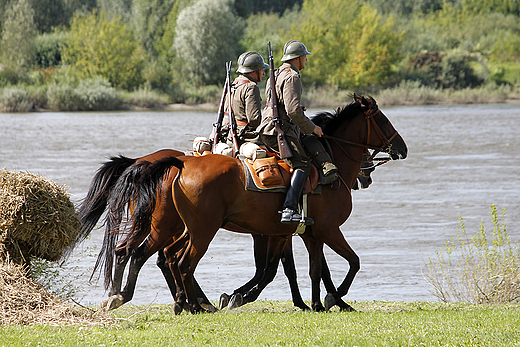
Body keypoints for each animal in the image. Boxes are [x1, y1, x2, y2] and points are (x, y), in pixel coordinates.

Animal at [159, 94, 406, 312]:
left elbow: (312, 270)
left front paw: (317, 303)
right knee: (185, 264)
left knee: (172, 256)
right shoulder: (328, 230)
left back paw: (183, 302)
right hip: (203, 232)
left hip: (191, 230)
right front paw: (332, 298)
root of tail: (183, 165)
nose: (402, 148)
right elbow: (353, 262)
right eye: (383, 120)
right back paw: (195, 305)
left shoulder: (305, 234)